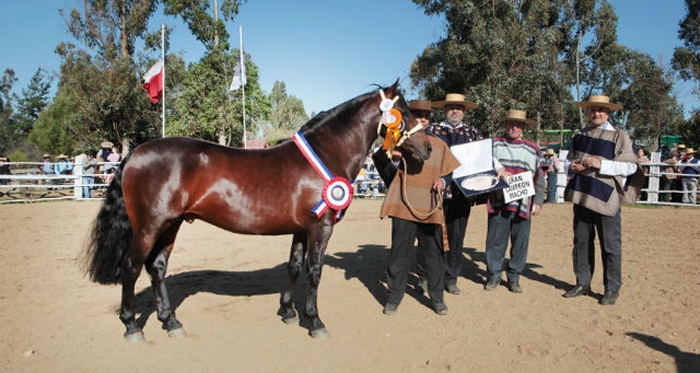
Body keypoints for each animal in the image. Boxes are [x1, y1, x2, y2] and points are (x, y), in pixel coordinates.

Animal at [82, 81, 432, 340]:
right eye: (402, 111)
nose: (427, 148)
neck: (325, 152)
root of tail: (136, 152)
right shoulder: (320, 227)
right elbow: (314, 271)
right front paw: (315, 322)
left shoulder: (301, 229)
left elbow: (294, 267)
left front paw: (288, 312)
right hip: (148, 226)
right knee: (131, 268)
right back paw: (131, 326)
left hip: (171, 225)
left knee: (156, 269)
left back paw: (171, 323)